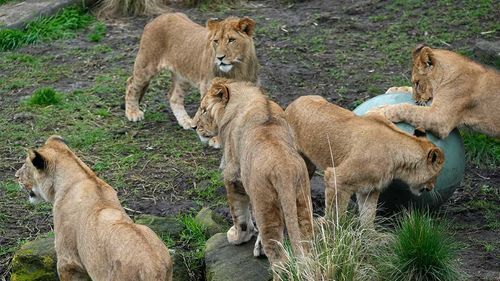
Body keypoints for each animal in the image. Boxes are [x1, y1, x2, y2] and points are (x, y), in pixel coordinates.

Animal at [191, 77, 312, 264]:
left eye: (204, 110)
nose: (194, 126)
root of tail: (283, 169)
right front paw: (256, 244)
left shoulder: (232, 175)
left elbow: (238, 213)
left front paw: (238, 236)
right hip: (302, 203)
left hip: (265, 205)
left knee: (278, 256)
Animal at [286, 95, 446, 226]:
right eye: (437, 175)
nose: (432, 187)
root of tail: (292, 104)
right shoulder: (336, 178)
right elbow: (335, 213)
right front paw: (332, 232)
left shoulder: (370, 189)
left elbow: (368, 214)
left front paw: (370, 237)